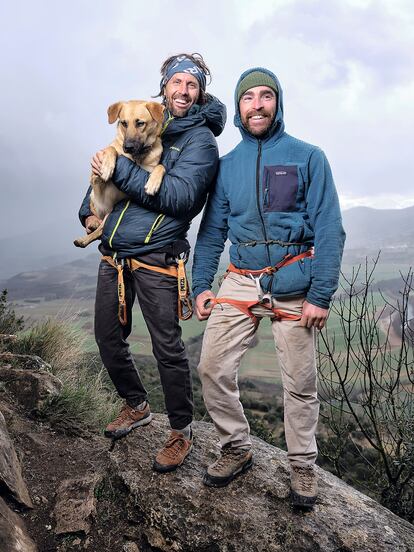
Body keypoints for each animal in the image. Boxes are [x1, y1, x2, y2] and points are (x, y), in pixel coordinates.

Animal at [74, 100, 165, 249]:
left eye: (140, 123)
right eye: (124, 123)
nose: (127, 147)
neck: (136, 157)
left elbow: (161, 166)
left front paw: (153, 184)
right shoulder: (95, 180)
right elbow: (111, 149)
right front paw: (107, 166)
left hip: (108, 216)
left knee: (101, 231)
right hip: (94, 199)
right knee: (97, 223)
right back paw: (90, 228)